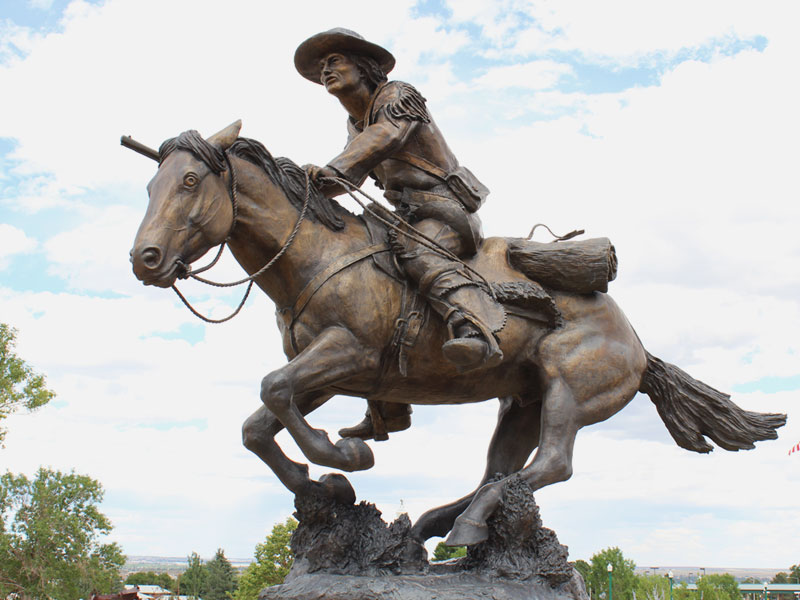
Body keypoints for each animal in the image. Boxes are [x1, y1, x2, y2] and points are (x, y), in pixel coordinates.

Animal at [131, 122, 788, 548]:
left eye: (189, 182)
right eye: (150, 186)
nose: (146, 259)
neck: (319, 255)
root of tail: (638, 345)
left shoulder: (348, 353)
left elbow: (272, 391)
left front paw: (343, 458)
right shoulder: (325, 372)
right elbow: (258, 423)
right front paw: (324, 488)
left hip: (570, 394)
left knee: (551, 465)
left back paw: (464, 528)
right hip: (521, 402)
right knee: (498, 471)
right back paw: (440, 525)